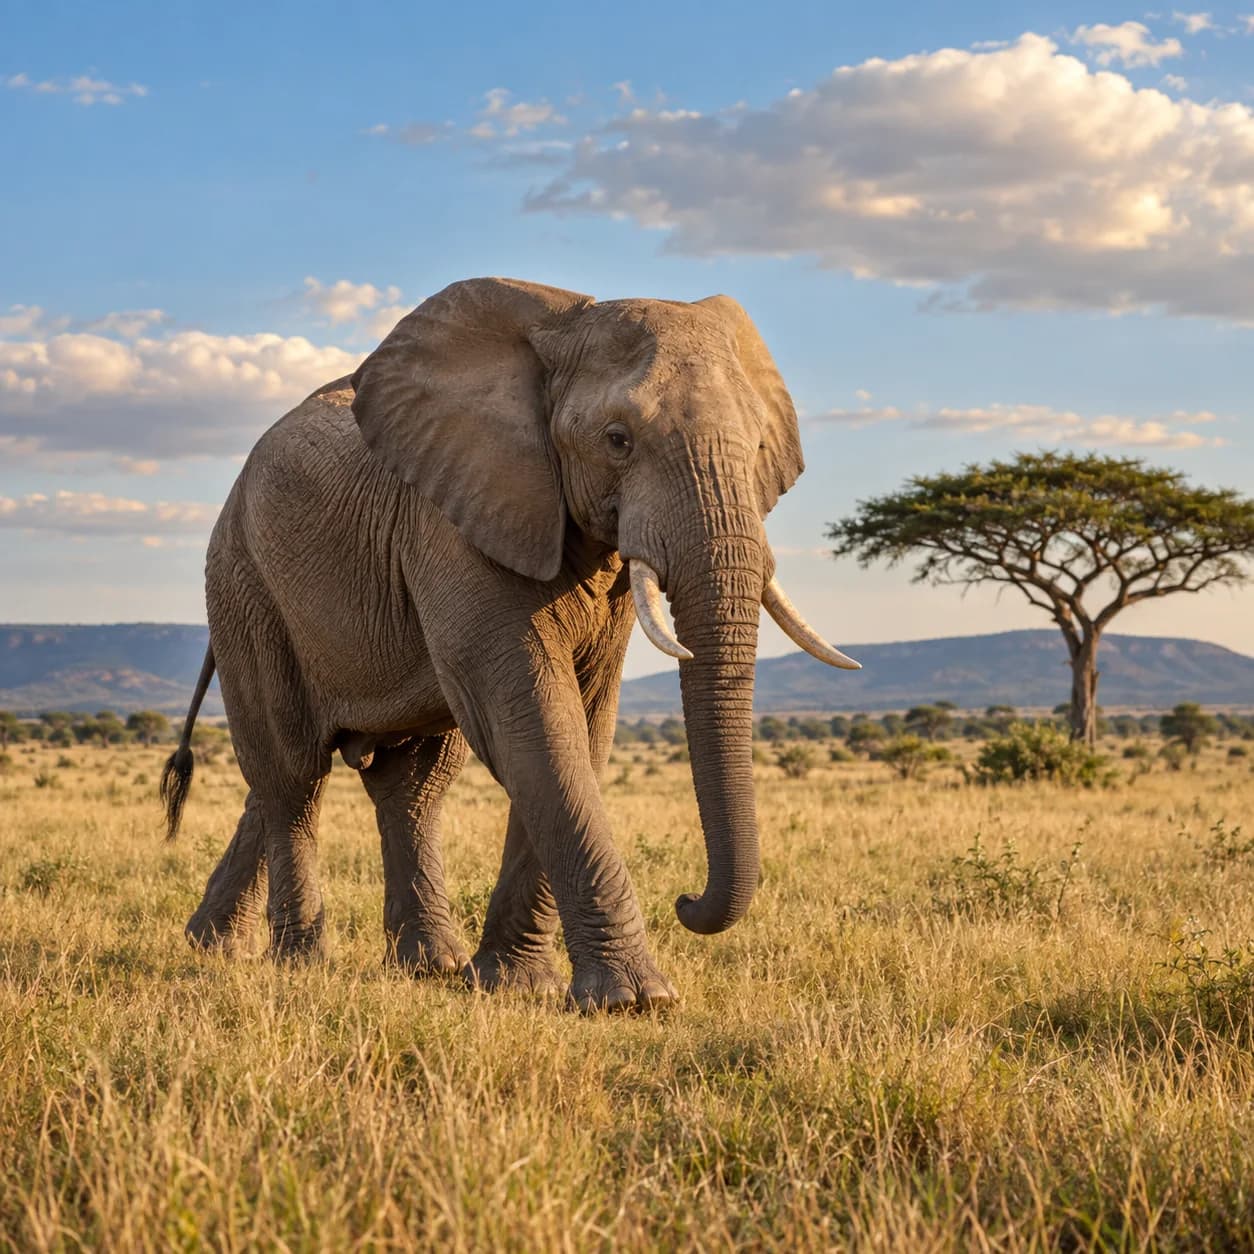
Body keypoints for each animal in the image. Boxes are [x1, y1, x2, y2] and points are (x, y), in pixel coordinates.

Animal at [160, 277, 858, 1012]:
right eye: (617, 440)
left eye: (757, 449)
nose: (687, 900)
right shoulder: (452, 521)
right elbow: (532, 719)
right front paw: (633, 1000)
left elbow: (582, 725)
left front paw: (513, 983)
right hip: (245, 583)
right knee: (294, 770)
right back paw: (301, 962)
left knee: (402, 782)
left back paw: (390, 963)